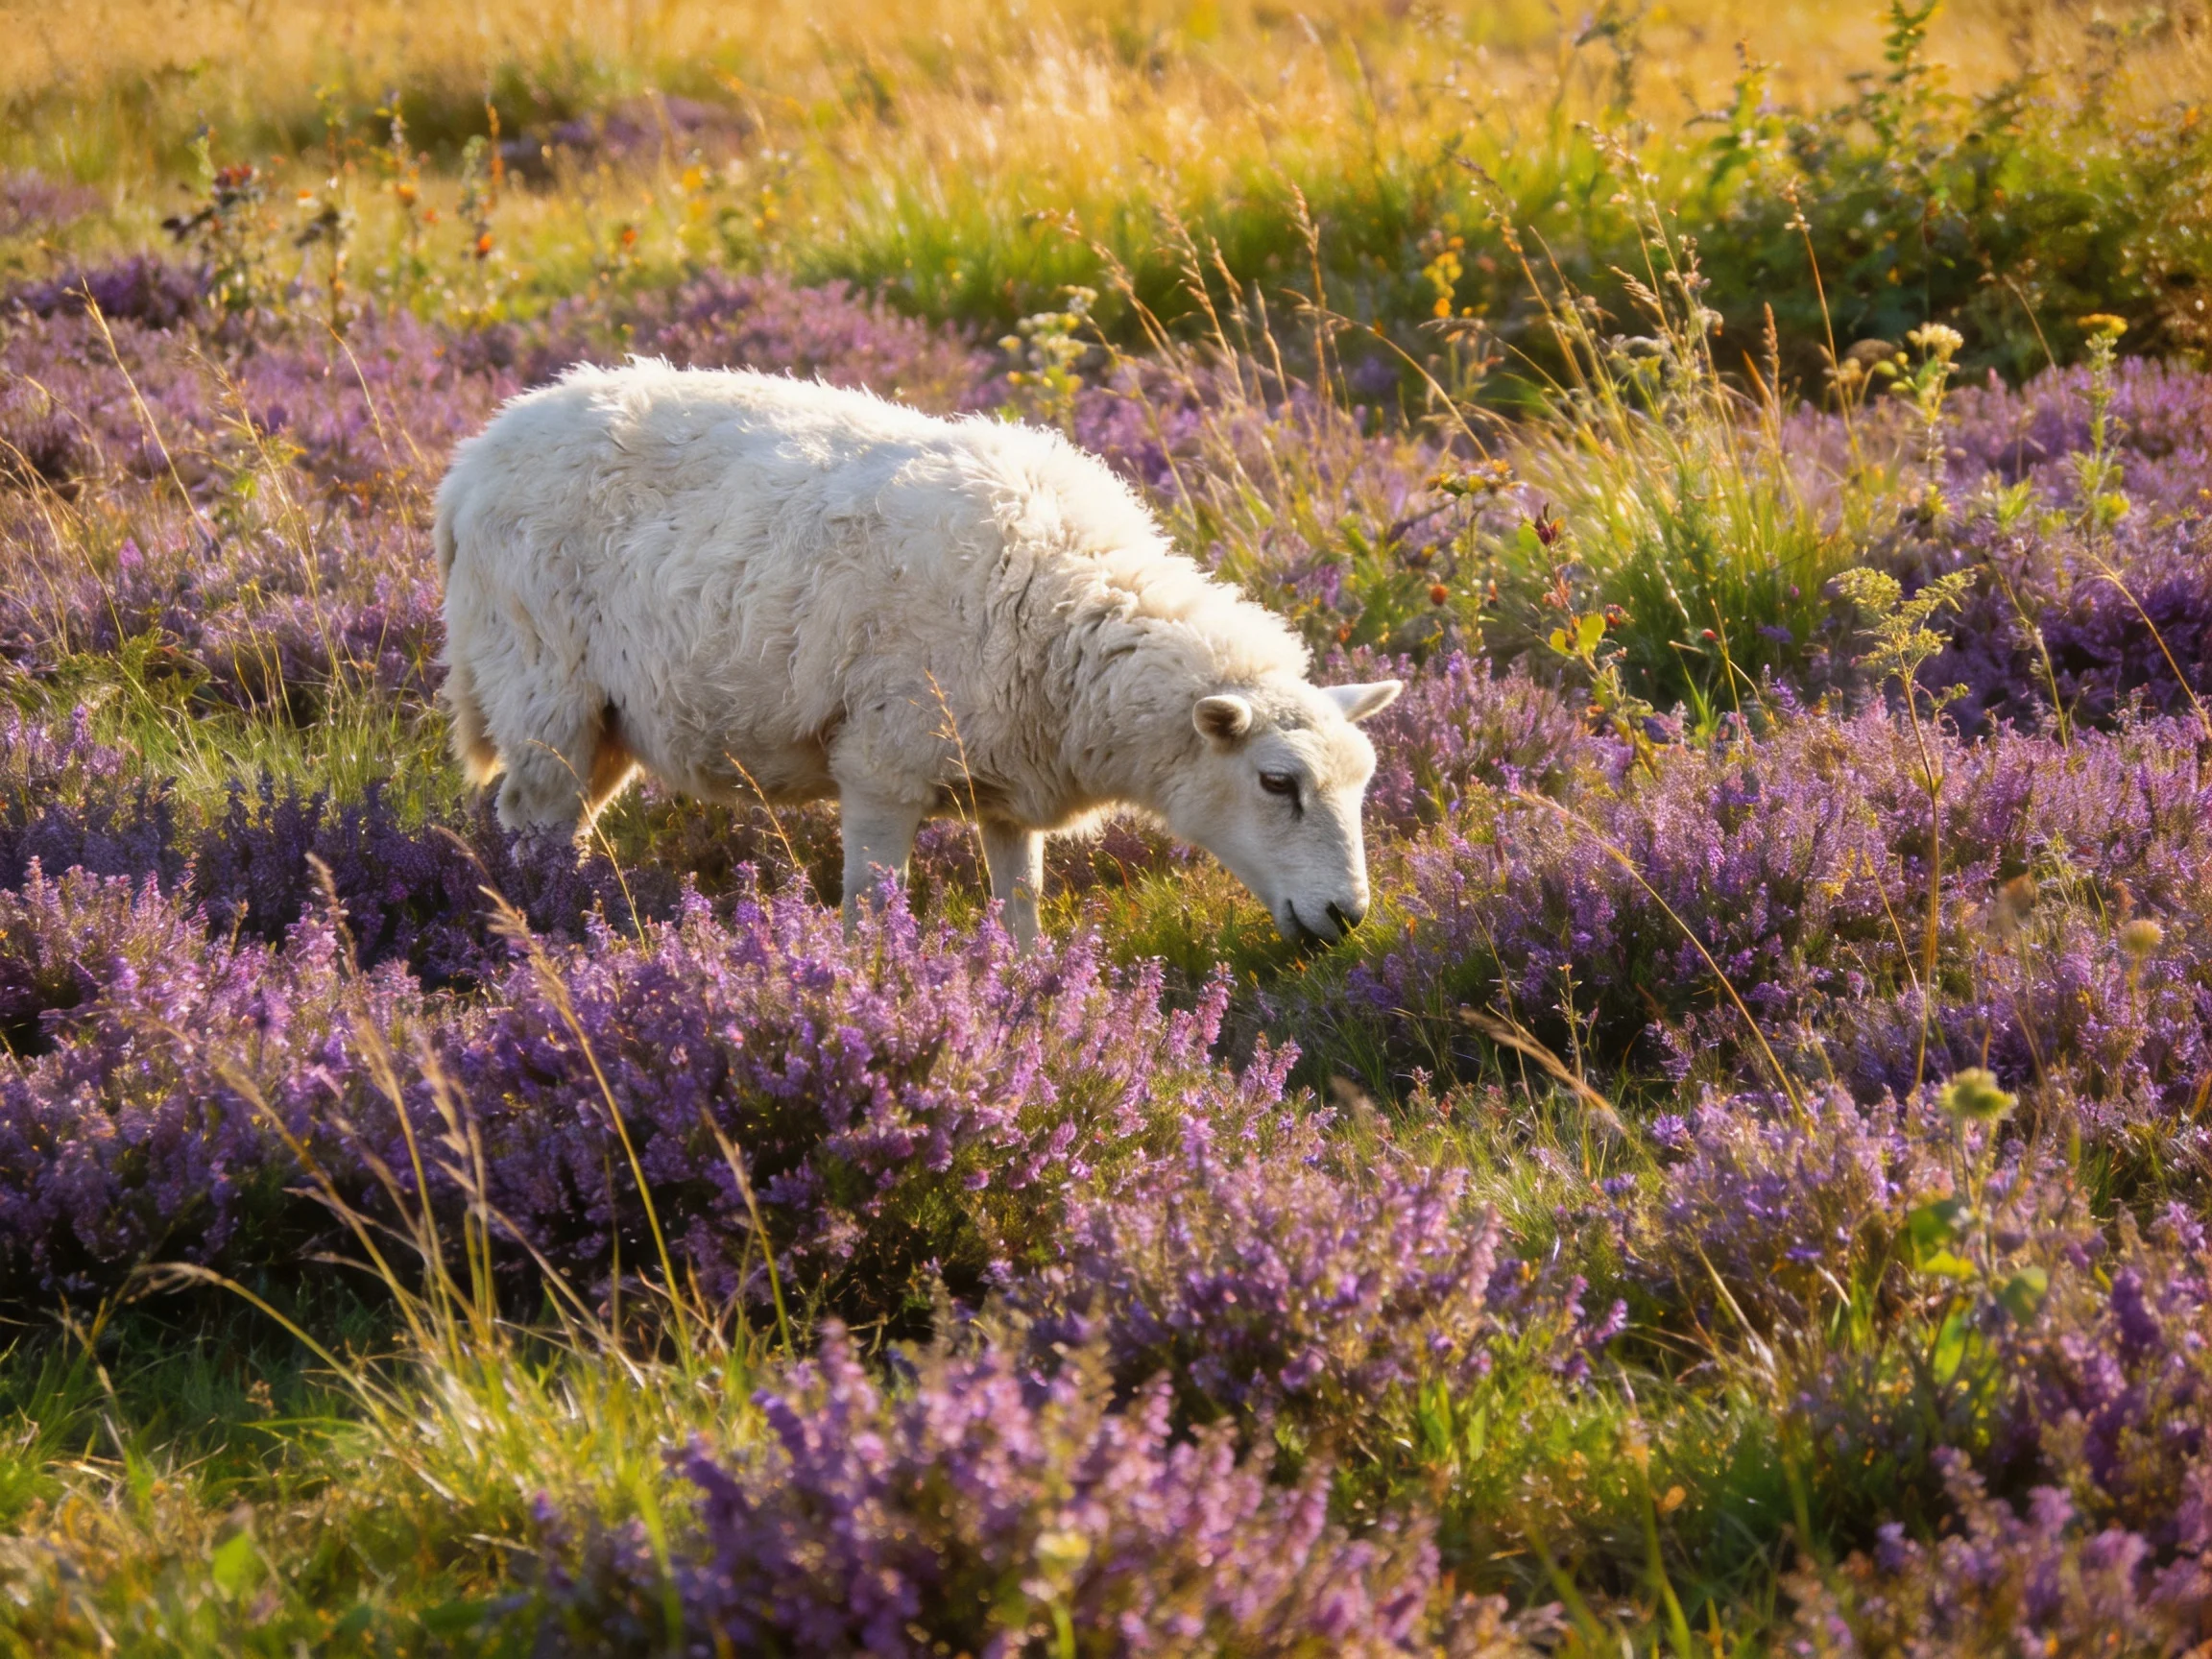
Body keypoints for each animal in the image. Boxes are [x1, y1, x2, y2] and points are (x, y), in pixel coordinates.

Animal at [434, 361, 1401, 947]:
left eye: (1362, 783)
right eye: (1277, 783)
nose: (1348, 917)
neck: (1062, 610)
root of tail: (476, 455)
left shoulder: (1011, 784)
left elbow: (1021, 906)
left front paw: (1030, 992)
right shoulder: (880, 769)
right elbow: (872, 909)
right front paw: (877, 993)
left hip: (603, 721)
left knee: (558, 825)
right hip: (541, 690)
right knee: (530, 822)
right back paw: (548, 927)